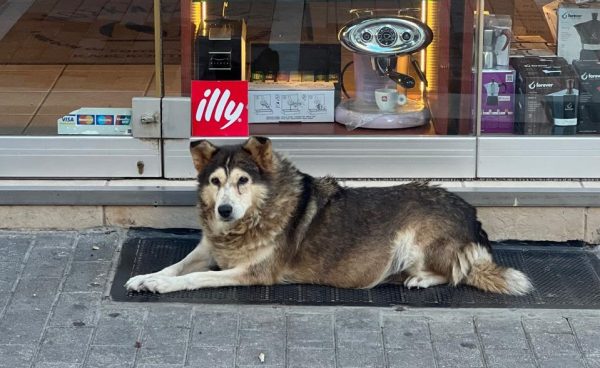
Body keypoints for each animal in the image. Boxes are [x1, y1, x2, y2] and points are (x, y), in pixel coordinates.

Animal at [124, 137, 532, 294]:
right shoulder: (207, 249)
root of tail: (472, 216)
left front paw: (161, 286)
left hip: (414, 239)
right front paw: (146, 277)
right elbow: (175, 266)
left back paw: (420, 279)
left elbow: (194, 278)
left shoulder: (253, 272)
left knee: (455, 273)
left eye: (242, 181)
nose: (224, 210)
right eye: (215, 181)